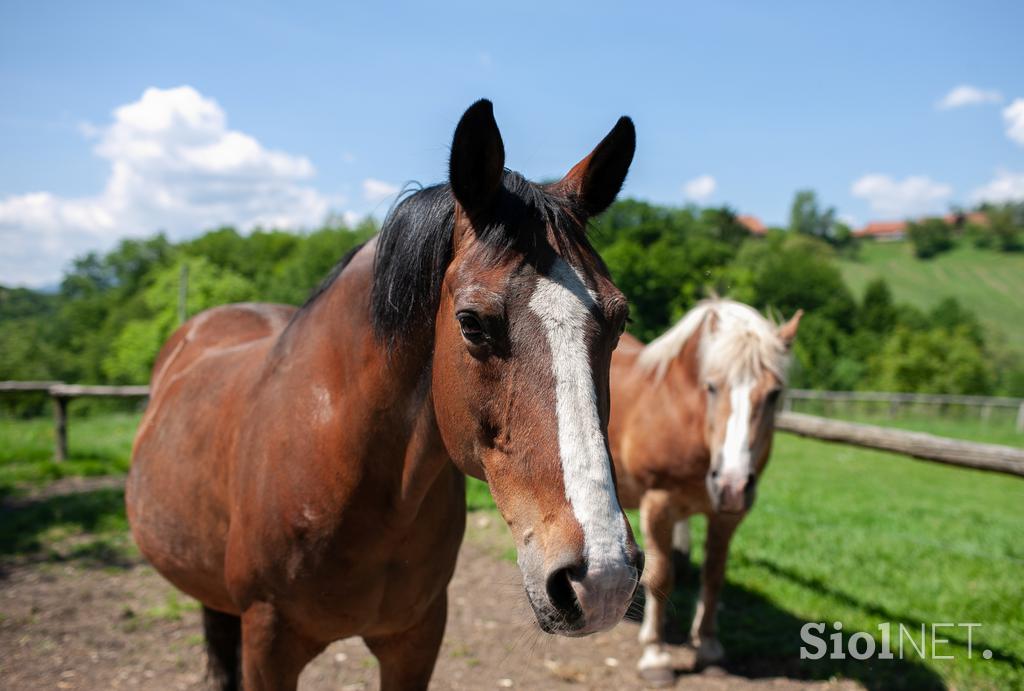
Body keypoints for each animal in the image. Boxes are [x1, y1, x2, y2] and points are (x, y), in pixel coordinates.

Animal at [606, 296, 798, 687]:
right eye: (711, 386)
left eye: (774, 394)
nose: (732, 484)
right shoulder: (658, 504)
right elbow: (661, 576)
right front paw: (656, 655)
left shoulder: (726, 516)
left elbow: (713, 575)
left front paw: (708, 647)